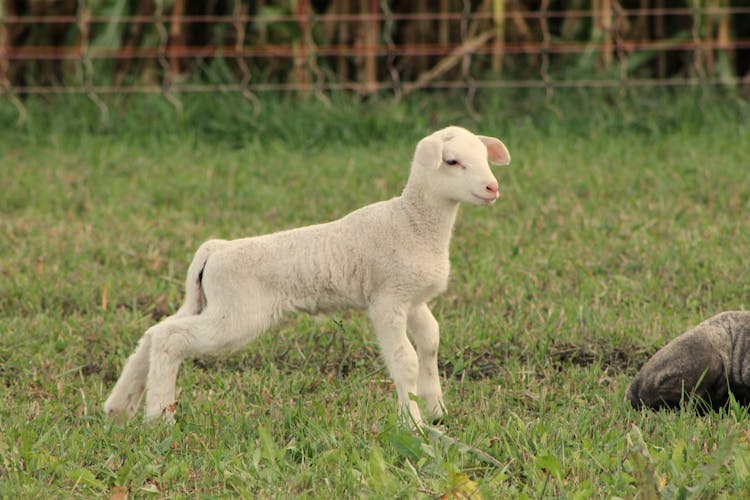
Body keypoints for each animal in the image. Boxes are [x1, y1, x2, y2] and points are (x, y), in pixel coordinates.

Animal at [104, 125, 512, 426]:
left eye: (483, 158)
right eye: (453, 161)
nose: (493, 188)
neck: (412, 222)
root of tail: (214, 250)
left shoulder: (412, 298)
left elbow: (431, 343)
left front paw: (437, 412)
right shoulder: (387, 299)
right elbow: (405, 359)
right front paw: (414, 425)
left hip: (207, 302)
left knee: (155, 331)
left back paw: (119, 407)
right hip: (236, 314)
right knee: (170, 339)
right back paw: (159, 419)